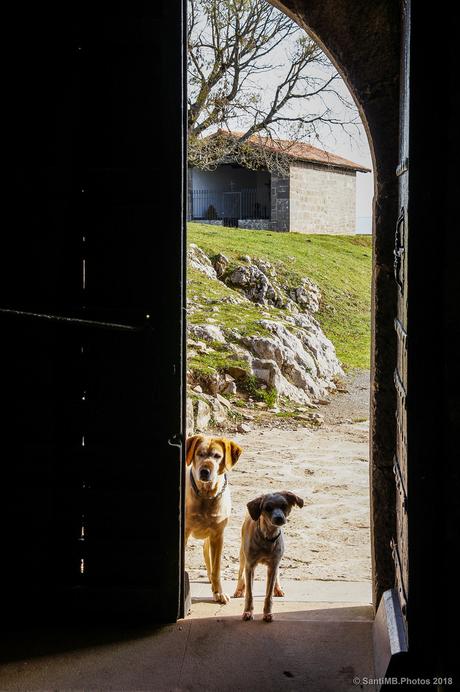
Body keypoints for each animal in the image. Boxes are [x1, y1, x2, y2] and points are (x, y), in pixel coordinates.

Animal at [185, 436, 243, 604]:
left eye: (217, 456)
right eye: (199, 453)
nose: (205, 471)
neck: (206, 496)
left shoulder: (217, 535)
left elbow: (217, 568)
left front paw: (218, 593)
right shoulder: (184, 533)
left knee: (207, 553)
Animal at [234, 492, 306, 620]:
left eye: (284, 505)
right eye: (267, 508)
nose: (279, 518)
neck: (268, 537)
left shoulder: (273, 565)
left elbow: (268, 594)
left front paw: (267, 613)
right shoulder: (250, 566)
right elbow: (249, 594)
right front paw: (248, 612)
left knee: (277, 575)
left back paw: (278, 589)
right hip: (242, 556)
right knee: (240, 573)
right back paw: (239, 590)